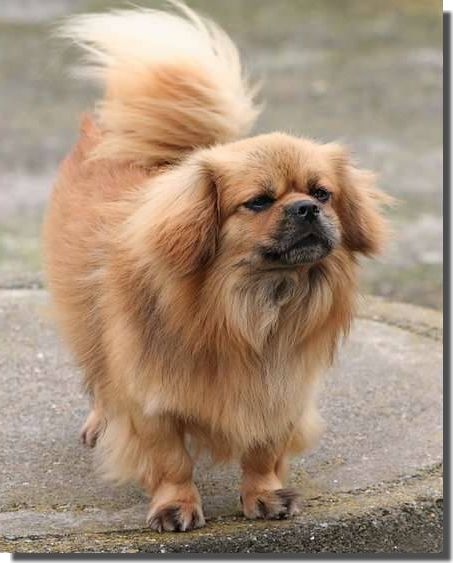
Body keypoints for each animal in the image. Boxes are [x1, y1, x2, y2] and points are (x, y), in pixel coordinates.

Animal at [43, 2, 390, 532]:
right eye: (260, 201)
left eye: (322, 192)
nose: (306, 208)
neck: (254, 306)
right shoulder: (152, 401)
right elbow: (171, 461)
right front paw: (175, 506)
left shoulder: (280, 392)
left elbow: (264, 452)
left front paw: (265, 495)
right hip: (88, 321)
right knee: (101, 378)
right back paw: (100, 422)